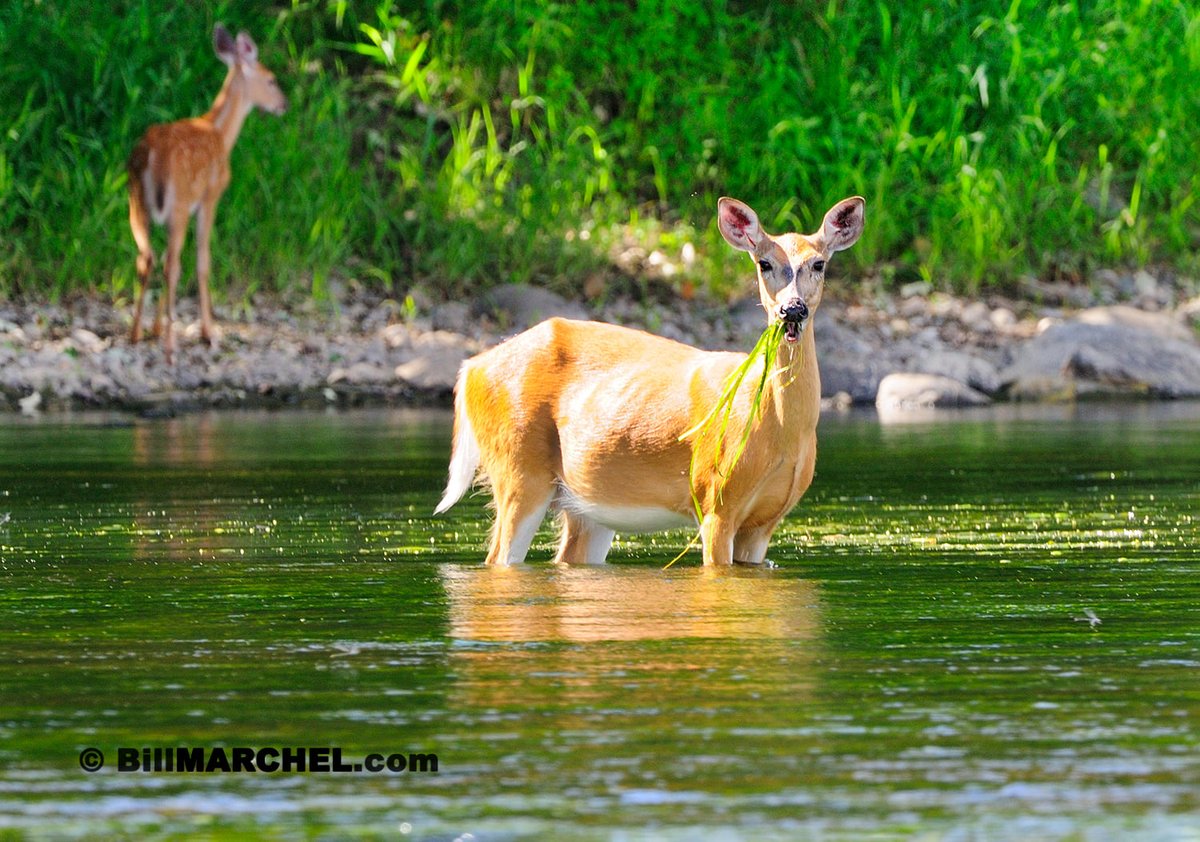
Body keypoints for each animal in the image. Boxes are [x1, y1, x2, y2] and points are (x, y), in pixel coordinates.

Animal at [126, 23, 288, 363]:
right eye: (271, 79)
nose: (283, 104)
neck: (220, 133)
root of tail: (150, 155)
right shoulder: (210, 197)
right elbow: (202, 263)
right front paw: (208, 332)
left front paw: (156, 328)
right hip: (178, 201)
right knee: (170, 265)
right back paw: (170, 348)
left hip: (136, 201)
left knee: (147, 257)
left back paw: (136, 334)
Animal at [435, 195, 865, 566]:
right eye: (763, 263)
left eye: (819, 264)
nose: (792, 310)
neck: (779, 432)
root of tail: (471, 367)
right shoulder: (714, 499)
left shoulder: (766, 522)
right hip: (518, 466)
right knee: (498, 556)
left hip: (585, 501)